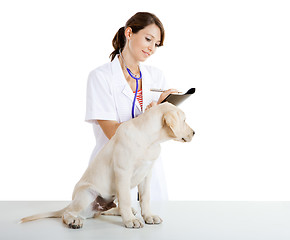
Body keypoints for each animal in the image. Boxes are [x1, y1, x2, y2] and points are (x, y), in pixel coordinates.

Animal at [21, 101, 195, 229]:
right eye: (184, 120)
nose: (194, 133)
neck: (149, 140)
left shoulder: (146, 174)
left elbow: (145, 198)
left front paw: (148, 216)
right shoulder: (123, 172)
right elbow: (125, 199)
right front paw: (130, 220)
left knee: (102, 212)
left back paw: (119, 211)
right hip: (86, 194)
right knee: (68, 213)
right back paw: (74, 221)